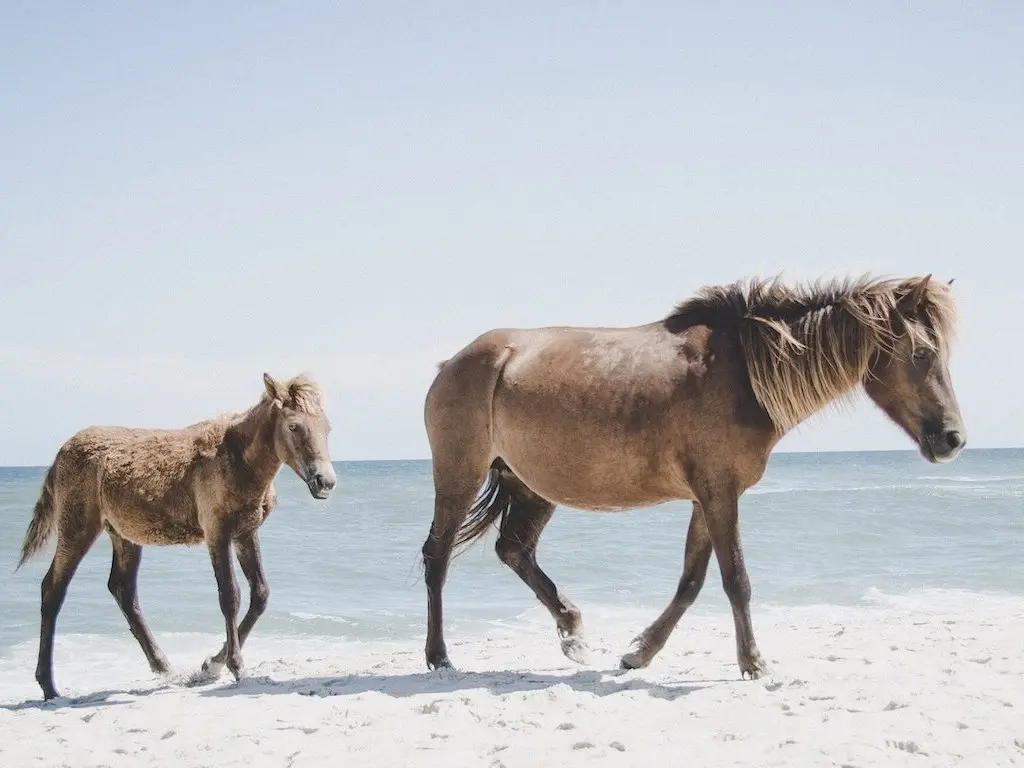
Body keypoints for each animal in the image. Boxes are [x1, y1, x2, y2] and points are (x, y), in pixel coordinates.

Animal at [16, 374, 335, 704]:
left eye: (327, 428)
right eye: (293, 426)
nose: (325, 482)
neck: (238, 459)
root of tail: (60, 454)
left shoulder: (246, 532)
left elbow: (260, 594)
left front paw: (211, 665)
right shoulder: (217, 532)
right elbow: (230, 596)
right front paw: (232, 666)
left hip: (124, 534)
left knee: (122, 589)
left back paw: (163, 666)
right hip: (77, 527)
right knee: (53, 589)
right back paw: (49, 686)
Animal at [419, 274, 962, 679]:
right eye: (920, 353)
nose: (953, 438)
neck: (742, 373)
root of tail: (454, 361)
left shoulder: (709, 496)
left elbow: (691, 582)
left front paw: (639, 653)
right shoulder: (720, 493)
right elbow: (736, 579)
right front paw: (753, 663)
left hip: (530, 485)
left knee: (514, 550)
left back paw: (572, 632)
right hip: (459, 475)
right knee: (438, 557)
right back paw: (439, 656)